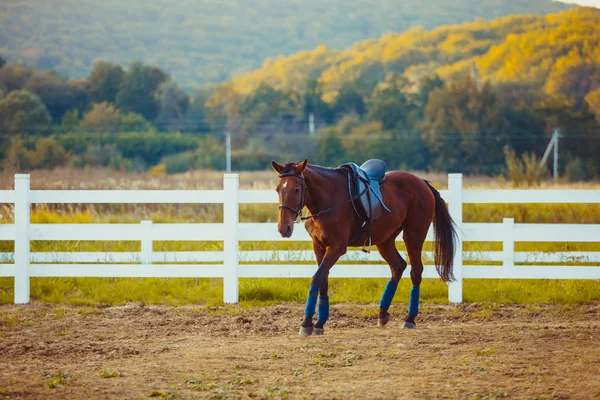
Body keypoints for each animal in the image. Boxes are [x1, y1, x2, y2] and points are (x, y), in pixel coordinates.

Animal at [272, 158, 454, 336]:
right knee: (398, 266)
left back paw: (409, 319)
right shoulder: (319, 246)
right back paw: (382, 313)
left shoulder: (336, 248)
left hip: (413, 236)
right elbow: (323, 279)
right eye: (277, 189)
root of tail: (422, 182)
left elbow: (317, 277)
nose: (284, 228)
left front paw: (307, 323)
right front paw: (320, 323)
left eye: (296, 189)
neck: (328, 199)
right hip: (385, 240)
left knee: (415, 271)